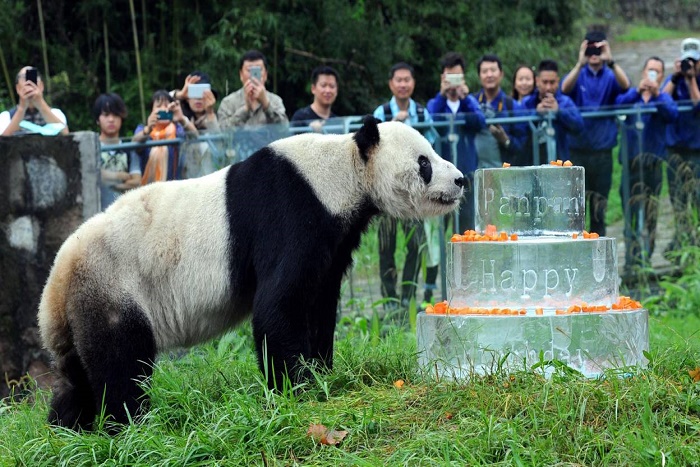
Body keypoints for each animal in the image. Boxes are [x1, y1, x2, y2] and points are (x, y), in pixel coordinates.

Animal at [38, 116, 464, 430]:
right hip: (114, 286)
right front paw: (296, 387)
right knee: (121, 363)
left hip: (82, 307)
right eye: (424, 161)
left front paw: (321, 371)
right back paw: (130, 424)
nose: (460, 180)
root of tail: (56, 280)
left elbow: (319, 301)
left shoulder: (333, 238)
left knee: (77, 376)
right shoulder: (290, 210)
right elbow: (278, 304)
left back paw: (67, 428)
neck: (343, 171)